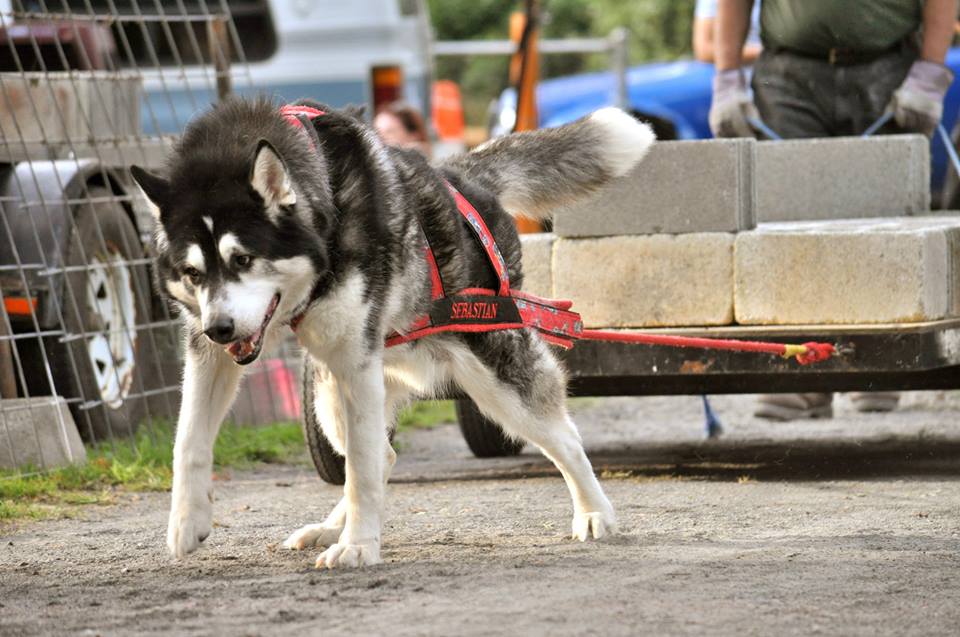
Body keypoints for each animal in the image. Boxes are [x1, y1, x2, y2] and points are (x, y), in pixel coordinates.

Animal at [131, 97, 656, 568]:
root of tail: (460, 177)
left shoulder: (353, 359)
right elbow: (188, 439)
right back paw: (328, 529)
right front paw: (187, 521)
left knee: (562, 436)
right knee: (382, 454)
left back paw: (595, 512)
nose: (220, 328)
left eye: (242, 259)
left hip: (492, 375)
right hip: (329, 392)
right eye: (193, 272)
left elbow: (361, 471)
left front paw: (360, 547)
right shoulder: (209, 354)